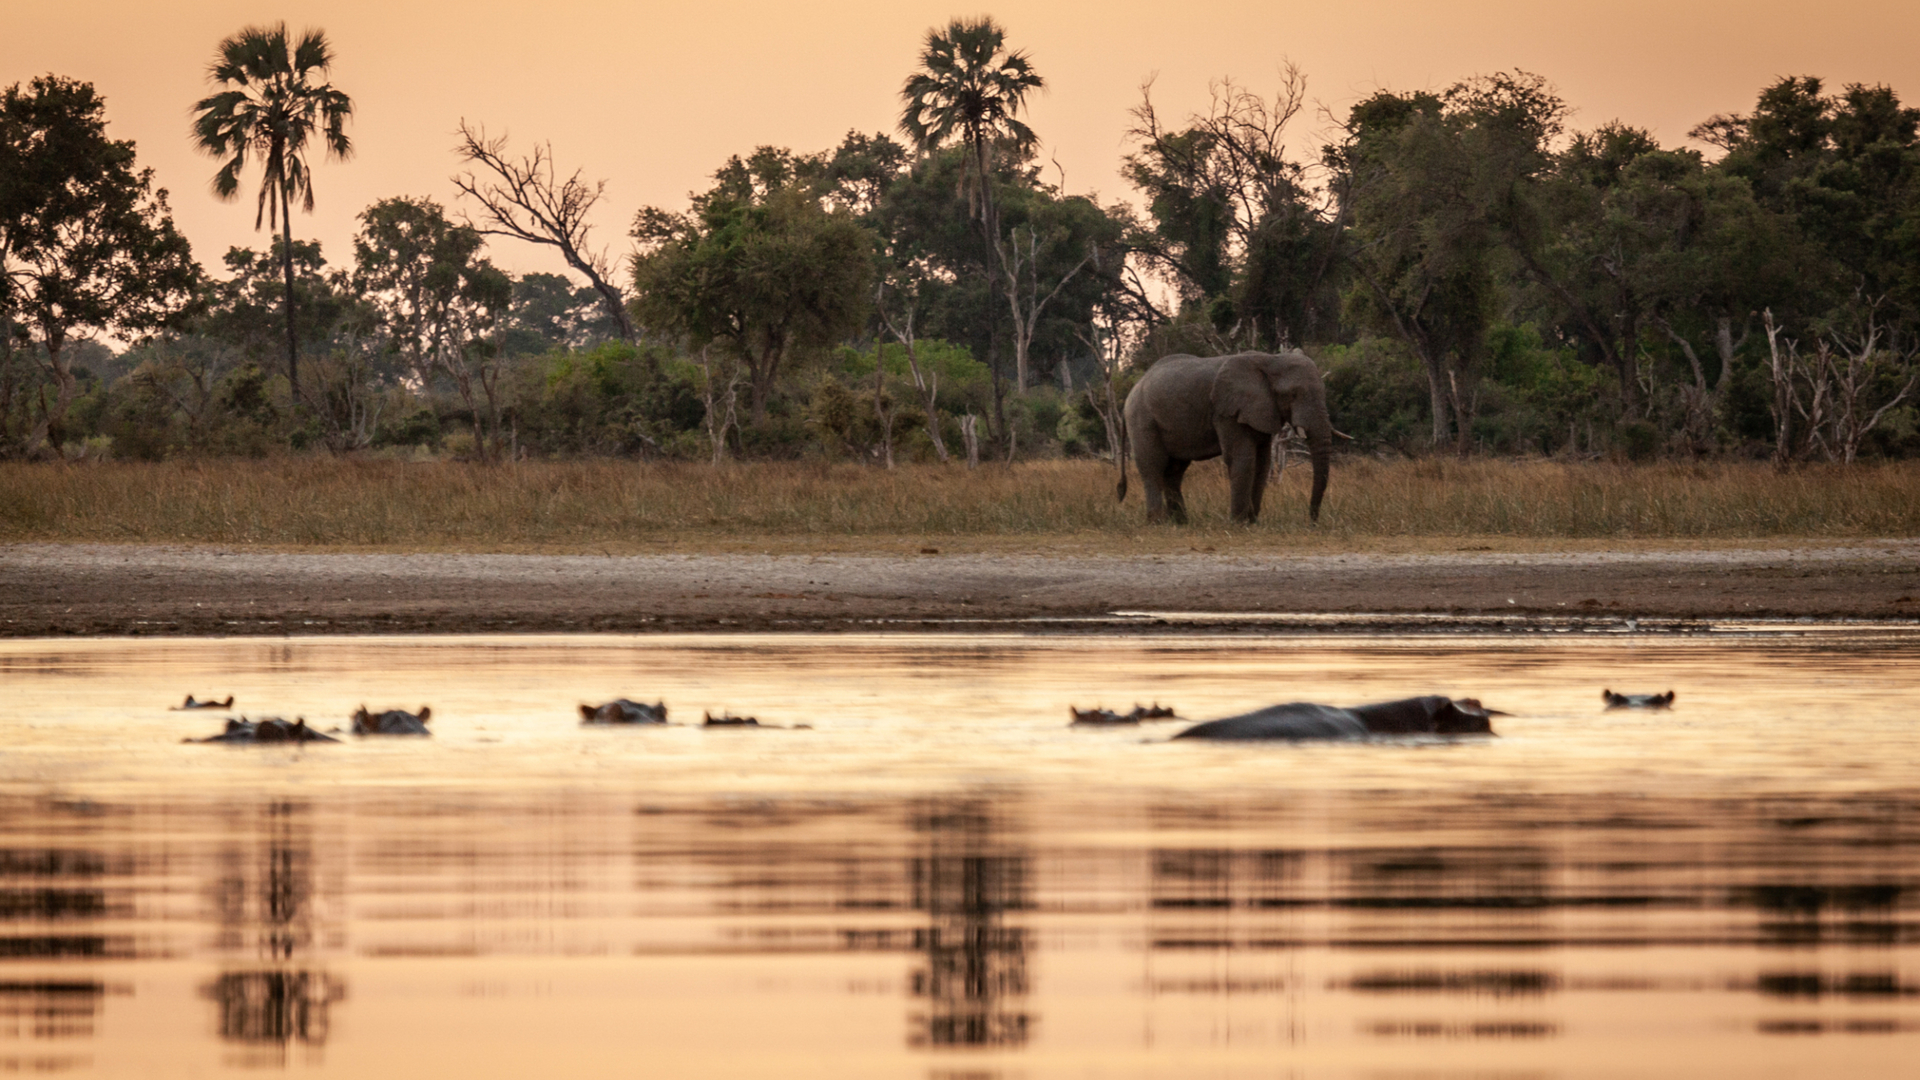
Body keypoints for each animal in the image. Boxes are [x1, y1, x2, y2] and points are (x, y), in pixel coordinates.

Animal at [1120, 351, 1332, 525]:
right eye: (1293, 394)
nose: (1312, 522)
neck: (1270, 359)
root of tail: (1133, 389)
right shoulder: (1227, 412)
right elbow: (1242, 460)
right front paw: (1238, 524)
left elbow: (1262, 464)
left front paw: (1253, 522)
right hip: (1142, 419)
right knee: (1153, 466)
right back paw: (1157, 522)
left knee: (1174, 471)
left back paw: (1181, 523)